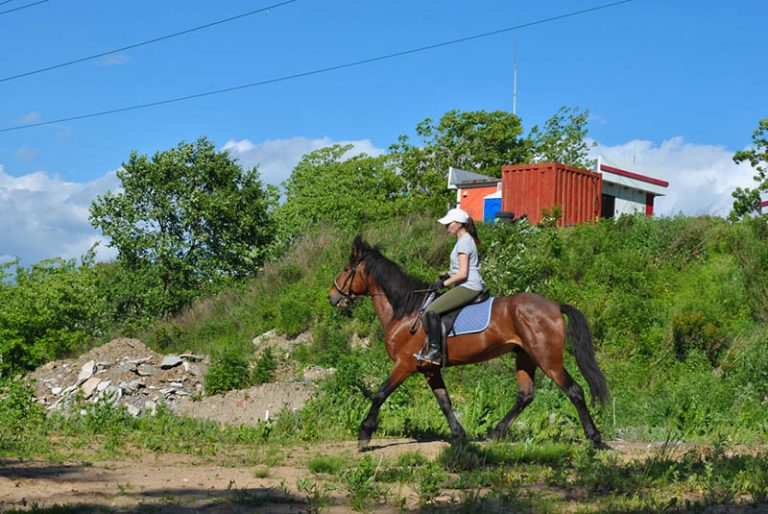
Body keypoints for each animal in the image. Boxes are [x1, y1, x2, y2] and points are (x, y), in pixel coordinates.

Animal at [328, 236, 609, 450]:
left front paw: (364, 434)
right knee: (525, 396)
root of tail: (553, 305)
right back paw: (495, 433)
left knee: (575, 391)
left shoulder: (405, 364)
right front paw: (460, 435)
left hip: (547, 358)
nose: (332, 297)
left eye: (346, 270)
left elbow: (379, 393)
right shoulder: (428, 368)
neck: (406, 311)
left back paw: (595, 439)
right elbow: (444, 402)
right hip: (525, 356)